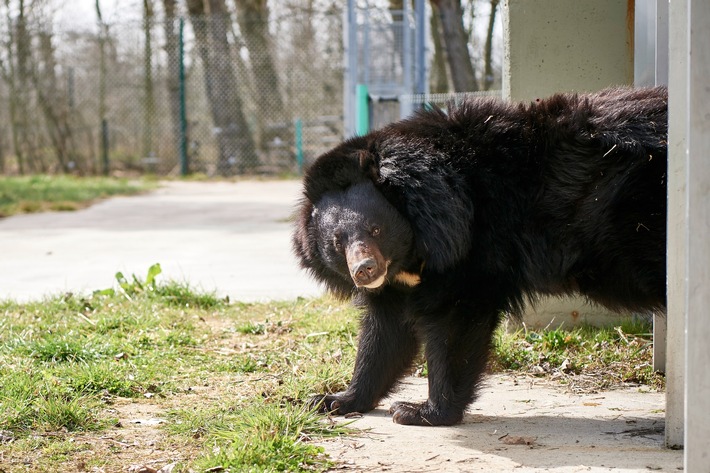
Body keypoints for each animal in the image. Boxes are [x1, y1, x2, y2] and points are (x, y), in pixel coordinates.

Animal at [292, 86, 672, 426]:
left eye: (375, 230)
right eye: (337, 243)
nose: (365, 270)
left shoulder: (474, 249)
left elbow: (454, 325)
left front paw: (421, 412)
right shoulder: (398, 284)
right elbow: (385, 334)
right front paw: (333, 399)